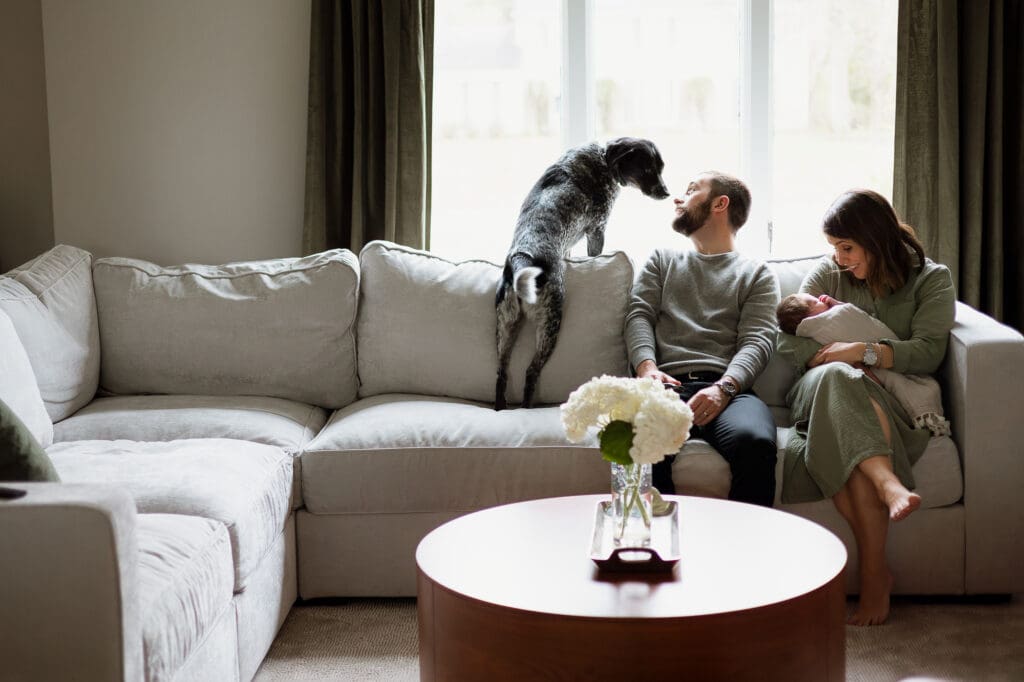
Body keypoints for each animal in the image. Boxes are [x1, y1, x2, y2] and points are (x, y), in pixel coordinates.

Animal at [491, 135, 667, 405]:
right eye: (647, 169)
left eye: (661, 168)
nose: (667, 193)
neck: (604, 157)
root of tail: (522, 259)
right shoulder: (597, 229)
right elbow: (595, 253)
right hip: (550, 325)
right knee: (531, 372)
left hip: (505, 325)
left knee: (501, 373)